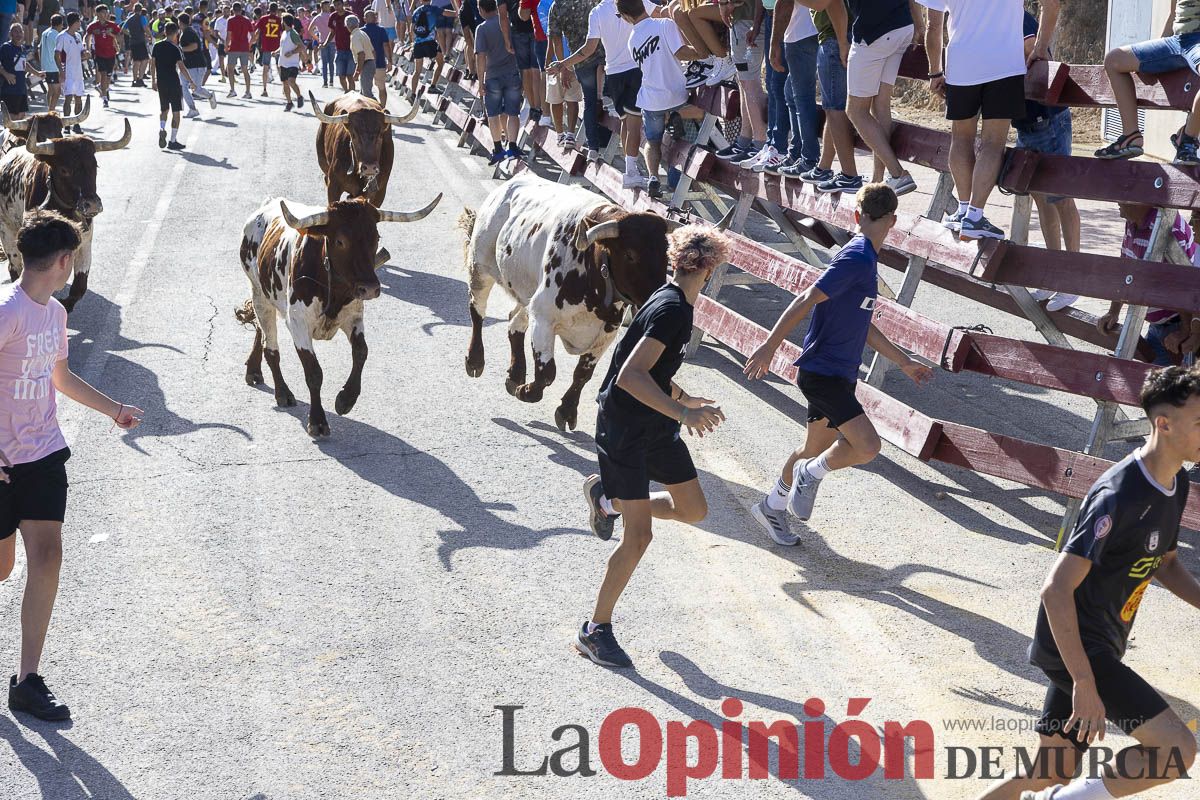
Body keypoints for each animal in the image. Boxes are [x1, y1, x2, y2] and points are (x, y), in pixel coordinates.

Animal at [0, 117, 132, 311]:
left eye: (95, 165)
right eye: (64, 170)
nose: (92, 204)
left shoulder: (85, 242)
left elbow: (79, 287)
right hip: (7, 232)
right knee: (15, 268)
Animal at [234, 191, 441, 438]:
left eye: (376, 238)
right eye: (341, 241)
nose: (370, 288)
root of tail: (266, 206)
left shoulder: (354, 317)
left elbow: (361, 353)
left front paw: (346, 399)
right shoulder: (298, 324)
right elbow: (314, 373)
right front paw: (317, 421)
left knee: (260, 330)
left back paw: (254, 370)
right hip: (259, 292)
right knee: (270, 347)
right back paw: (282, 392)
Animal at [460, 173, 691, 431]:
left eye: (666, 254)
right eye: (630, 254)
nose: (660, 294)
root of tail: (515, 180)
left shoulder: (605, 335)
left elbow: (582, 374)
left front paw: (566, 410)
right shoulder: (544, 317)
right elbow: (547, 372)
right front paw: (526, 391)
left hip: (528, 294)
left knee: (514, 324)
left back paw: (515, 374)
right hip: (480, 265)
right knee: (477, 311)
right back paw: (476, 360)